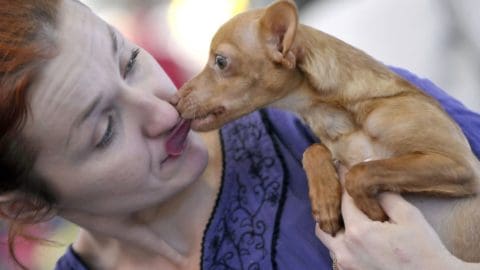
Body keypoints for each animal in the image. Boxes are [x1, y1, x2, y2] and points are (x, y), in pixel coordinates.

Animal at [174, 0, 480, 262]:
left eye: (221, 61)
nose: (176, 99)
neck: (338, 117)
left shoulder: (461, 166)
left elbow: (360, 173)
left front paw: (374, 212)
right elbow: (315, 150)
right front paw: (325, 198)